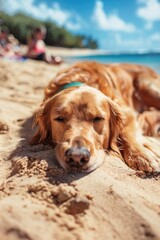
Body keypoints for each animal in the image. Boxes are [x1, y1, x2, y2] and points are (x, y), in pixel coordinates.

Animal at [31, 61, 160, 172]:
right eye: (59, 118)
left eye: (98, 118)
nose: (77, 156)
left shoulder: (127, 112)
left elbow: (126, 132)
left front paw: (141, 155)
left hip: (146, 85)